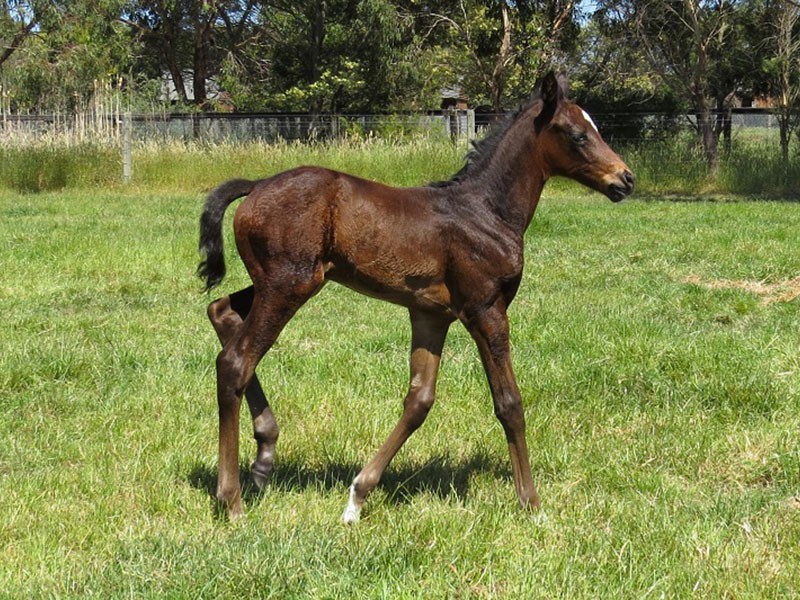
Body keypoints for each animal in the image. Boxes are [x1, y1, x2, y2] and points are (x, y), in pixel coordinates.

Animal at [198, 71, 632, 520]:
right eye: (578, 135)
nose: (625, 179)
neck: (486, 211)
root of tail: (256, 185)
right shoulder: (486, 309)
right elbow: (509, 403)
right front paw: (532, 504)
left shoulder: (430, 314)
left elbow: (419, 399)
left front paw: (357, 497)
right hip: (289, 284)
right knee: (235, 360)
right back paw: (231, 498)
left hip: (279, 282)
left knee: (221, 310)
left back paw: (264, 455)